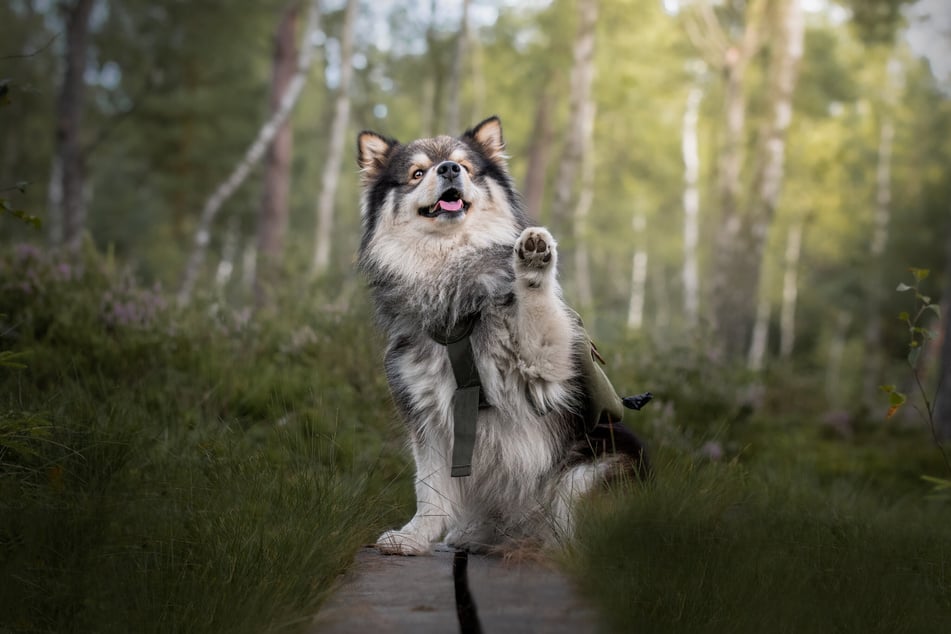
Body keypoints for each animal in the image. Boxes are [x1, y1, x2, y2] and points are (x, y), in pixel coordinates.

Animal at [356, 115, 648, 552]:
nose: (449, 169)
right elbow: (430, 488)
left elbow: (538, 309)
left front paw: (534, 262)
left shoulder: (543, 374)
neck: (455, 286)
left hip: (591, 468)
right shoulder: (426, 416)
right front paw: (415, 536)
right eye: (418, 173)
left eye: (464, 164)